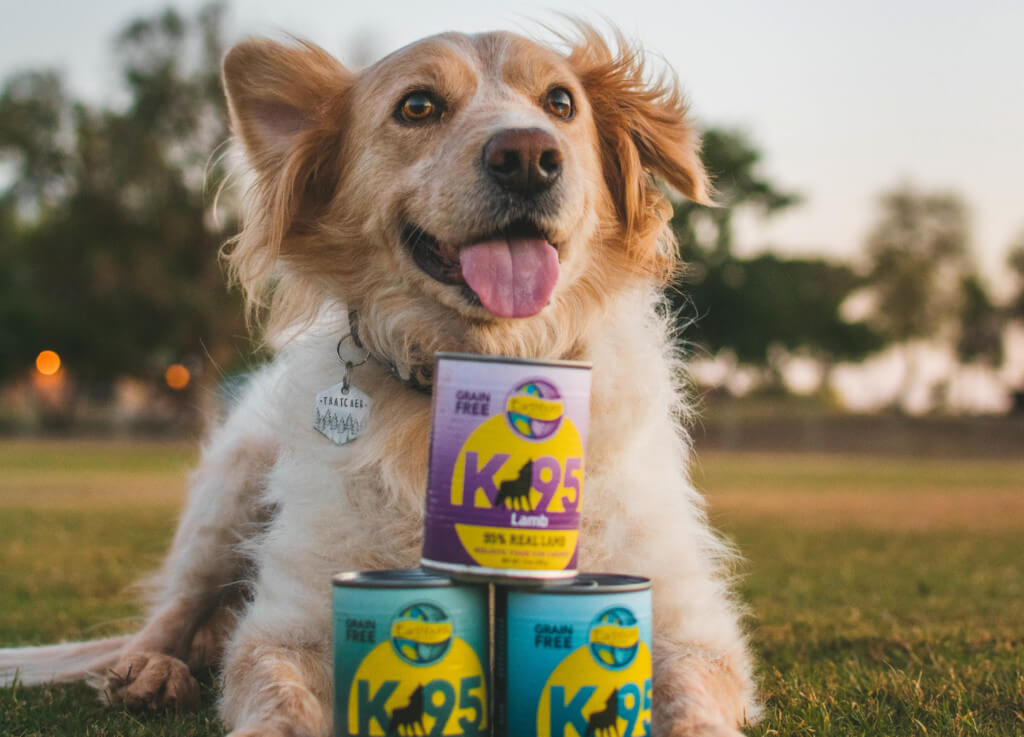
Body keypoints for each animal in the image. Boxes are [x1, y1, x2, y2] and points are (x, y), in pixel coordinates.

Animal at [0, 24, 757, 737]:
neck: (469, 377)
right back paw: (151, 670)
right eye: (417, 106)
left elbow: (693, 703)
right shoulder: (291, 624)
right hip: (229, 489)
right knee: (172, 612)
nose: (528, 157)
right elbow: (276, 697)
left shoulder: (687, 628)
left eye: (561, 103)